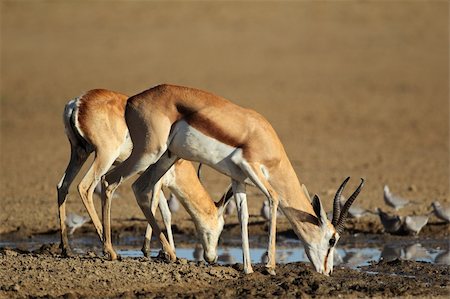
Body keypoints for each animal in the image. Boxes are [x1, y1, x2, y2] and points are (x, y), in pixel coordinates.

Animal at [55, 90, 230, 264]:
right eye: (221, 226)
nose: (213, 258)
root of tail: (78, 102)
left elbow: (165, 212)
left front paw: (167, 251)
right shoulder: (158, 179)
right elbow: (157, 208)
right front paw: (156, 250)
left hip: (80, 152)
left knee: (62, 186)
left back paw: (67, 249)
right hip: (104, 155)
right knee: (85, 187)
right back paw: (110, 250)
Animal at [100, 84, 364, 276]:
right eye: (332, 239)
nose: (327, 272)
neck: (262, 136)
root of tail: (132, 100)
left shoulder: (239, 180)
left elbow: (243, 216)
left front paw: (247, 268)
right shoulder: (251, 167)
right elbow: (275, 198)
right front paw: (270, 267)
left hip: (167, 156)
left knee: (140, 188)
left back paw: (170, 255)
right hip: (149, 153)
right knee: (109, 181)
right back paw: (111, 252)